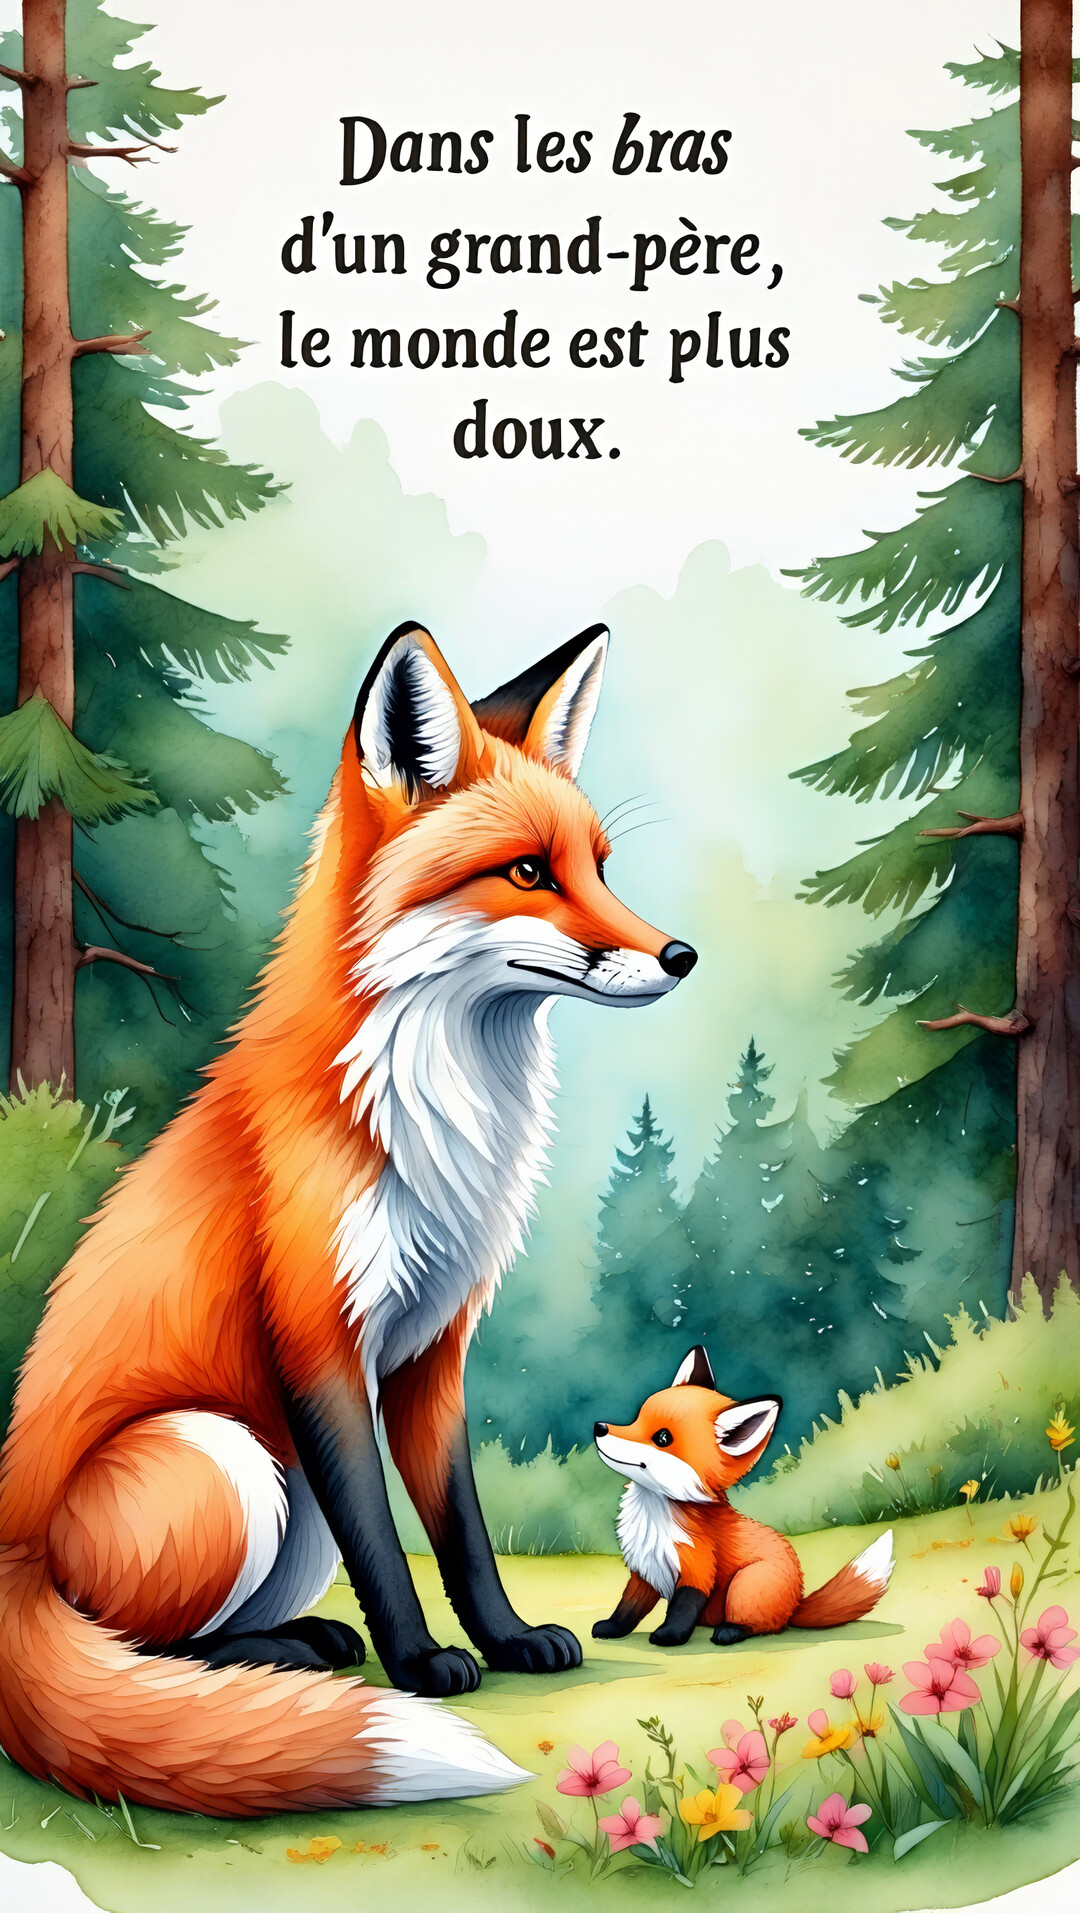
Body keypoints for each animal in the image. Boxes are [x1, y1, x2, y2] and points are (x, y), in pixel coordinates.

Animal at [0, 621, 698, 1817]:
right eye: (528, 871)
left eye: (602, 868)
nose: (679, 956)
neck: (430, 1120)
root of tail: (4, 1566)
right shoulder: (315, 1335)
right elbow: (386, 1536)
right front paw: (420, 1664)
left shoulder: (432, 1349)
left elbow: (460, 1528)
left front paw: (507, 1638)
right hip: (226, 1453)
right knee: (134, 1647)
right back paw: (286, 1660)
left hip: (287, 1508)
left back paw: (298, 1644)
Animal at [592, 1347, 894, 1647]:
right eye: (636, 1418)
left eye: (662, 1438)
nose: (599, 1427)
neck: (655, 1516)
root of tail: (795, 1603)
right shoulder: (646, 1570)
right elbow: (628, 1607)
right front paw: (612, 1628)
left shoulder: (698, 1568)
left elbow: (682, 1608)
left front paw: (669, 1636)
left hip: (745, 1583)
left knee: (763, 1625)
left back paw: (730, 1631)